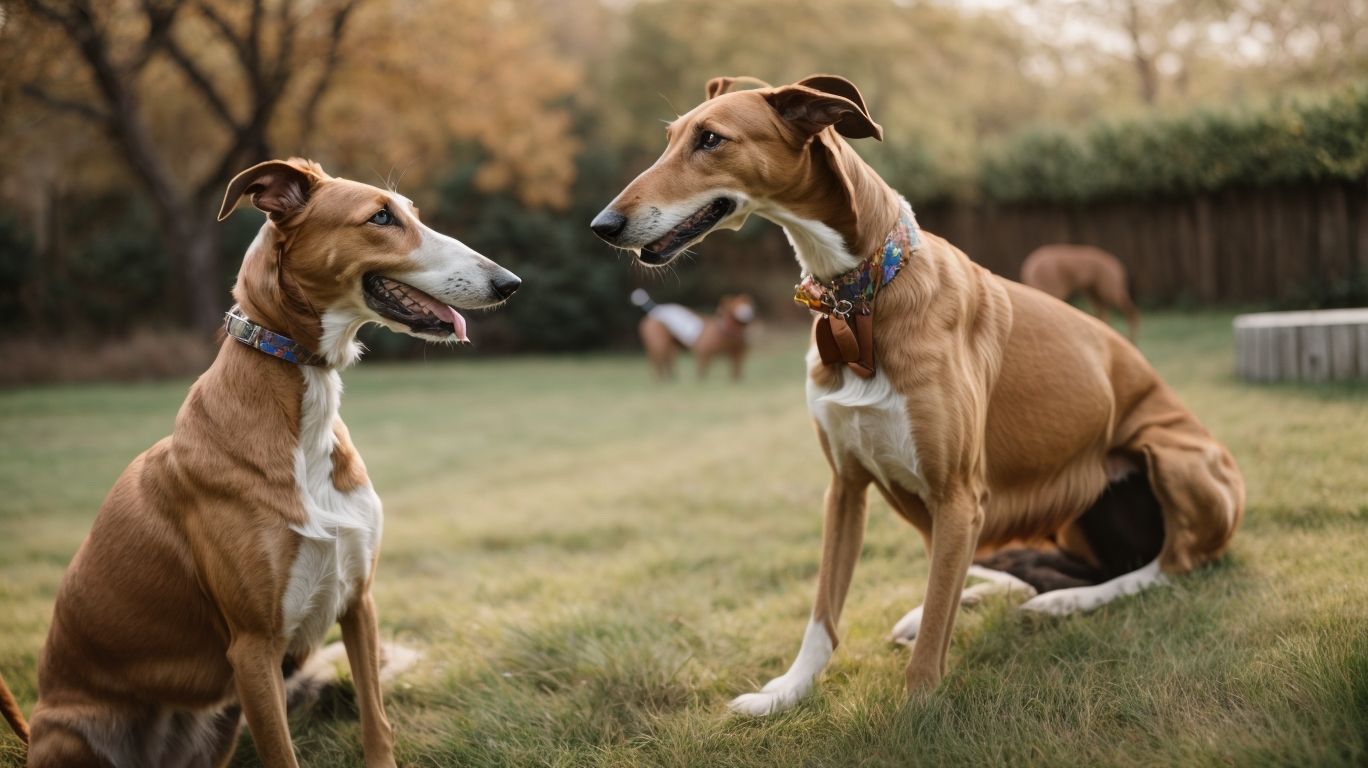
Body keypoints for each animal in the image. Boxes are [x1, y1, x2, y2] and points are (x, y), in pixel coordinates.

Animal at [0, 157, 519, 766]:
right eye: (381, 217)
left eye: (411, 212)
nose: (509, 283)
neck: (303, 417)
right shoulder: (253, 648)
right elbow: (282, 752)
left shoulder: (359, 602)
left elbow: (377, 722)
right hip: (76, 732)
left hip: (220, 725)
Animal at [588, 76, 1242, 711]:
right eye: (671, 139)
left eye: (711, 139)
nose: (603, 227)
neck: (860, 298)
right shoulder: (846, 486)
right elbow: (825, 612)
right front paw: (788, 692)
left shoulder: (959, 497)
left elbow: (931, 643)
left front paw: (916, 710)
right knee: (1059, 569)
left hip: (1173, 458)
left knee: (1171, 563)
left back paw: (1068, 604)